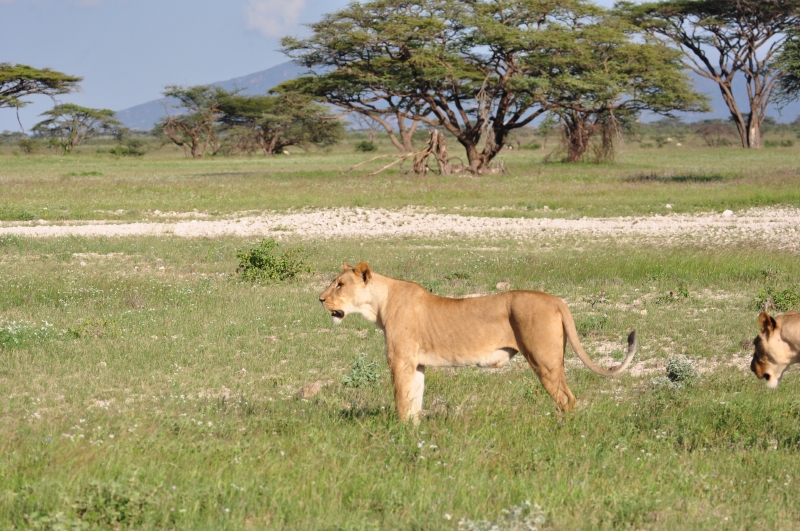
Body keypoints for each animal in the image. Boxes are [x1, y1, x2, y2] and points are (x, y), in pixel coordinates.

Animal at [319, 262, 637, 423]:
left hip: (544, 362)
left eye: (340, 284)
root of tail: (556, 300)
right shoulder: (417, 364)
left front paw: (401, 433)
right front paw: (414, 432)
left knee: (567, 399)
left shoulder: (400, 361)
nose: (320, 299)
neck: (379, 304)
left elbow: (401, 401)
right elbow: (414, 402)